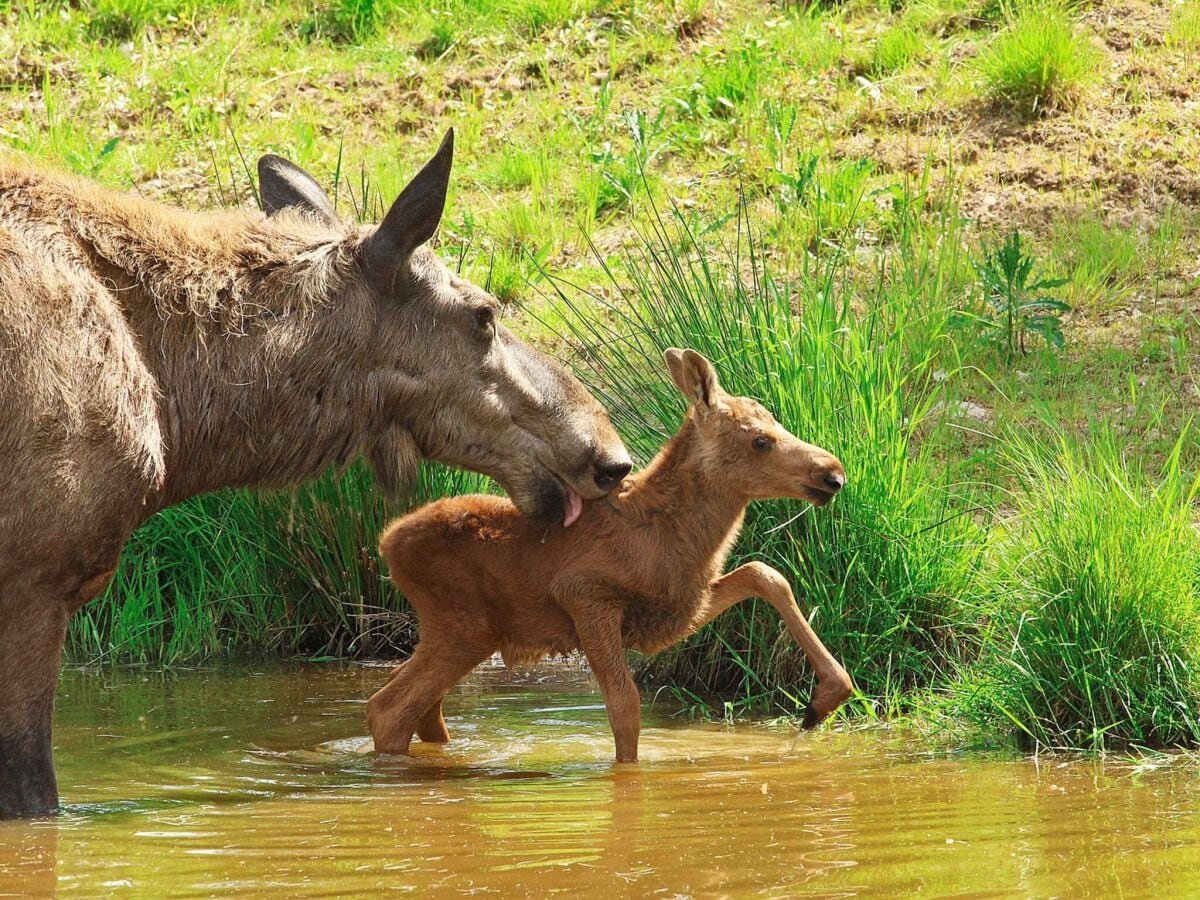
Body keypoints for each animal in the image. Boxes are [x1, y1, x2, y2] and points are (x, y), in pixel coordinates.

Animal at [374, 350, 854, 763]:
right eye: (759, 440)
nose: (833, 474)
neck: (673, 535)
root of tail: (387, 542)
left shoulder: (677, 607)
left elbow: (765, 572)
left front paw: (825, 698)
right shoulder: (585, 595)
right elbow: (625, 706)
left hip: (457, 631)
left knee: (417, 704)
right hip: (464, 626)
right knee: (388, 708)